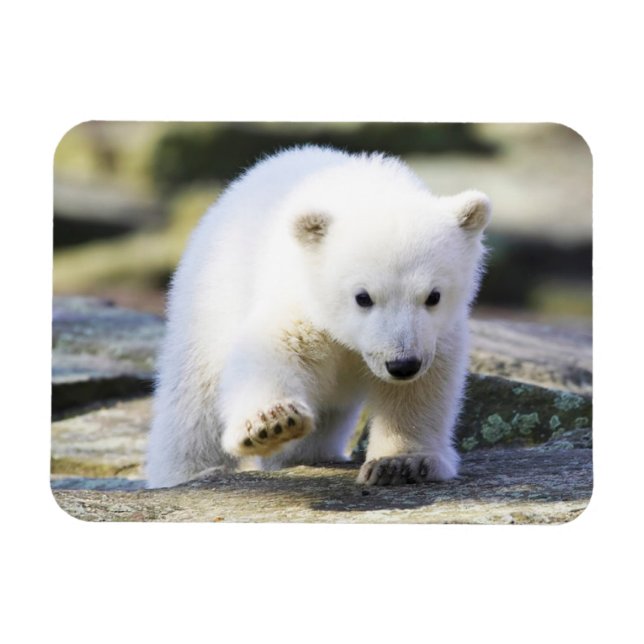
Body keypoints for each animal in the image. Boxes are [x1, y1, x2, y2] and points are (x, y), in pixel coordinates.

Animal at [145, 145, 491, 488]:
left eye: (433, 296)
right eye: (362, 297)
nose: (402, 364)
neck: (366, 191)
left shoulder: (436, 335)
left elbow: (421, 389)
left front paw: (400, 463)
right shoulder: (302, 298)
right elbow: (273, 348)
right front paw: (272, 423)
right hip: (209, 300)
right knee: (193, 405)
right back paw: (189, 472)